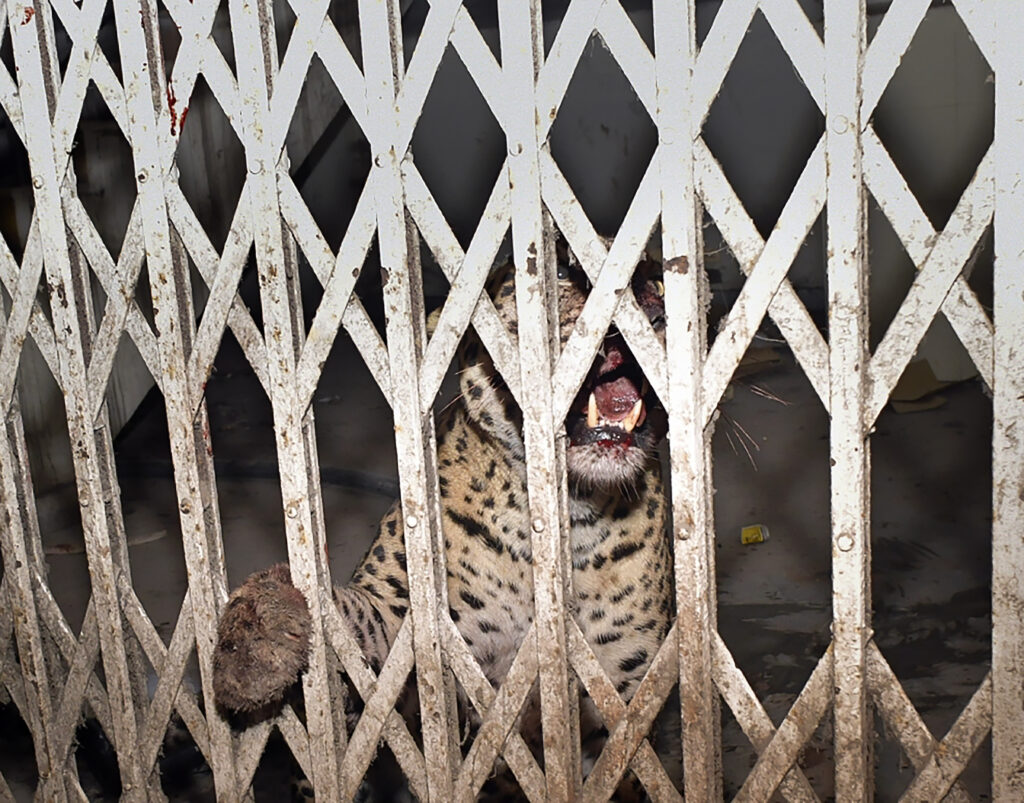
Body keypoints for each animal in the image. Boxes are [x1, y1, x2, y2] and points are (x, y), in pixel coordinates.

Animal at [212, 247, 675, 798]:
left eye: (663, 281)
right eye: (562, 270)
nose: (651, 301)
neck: (567, 515)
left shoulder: (630, 680)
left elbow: (627, 755)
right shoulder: (402, 621)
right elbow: (353, 623)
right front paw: (258, 631)